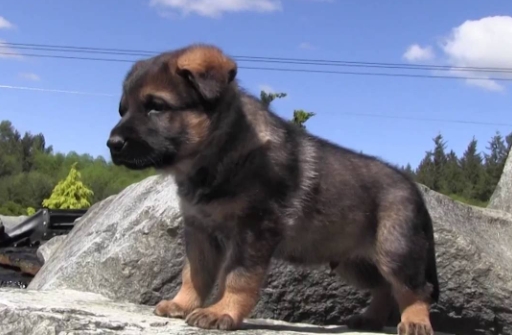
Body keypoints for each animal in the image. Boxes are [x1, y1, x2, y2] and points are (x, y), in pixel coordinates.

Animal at [106, 43, 438, 335]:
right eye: (123, 110)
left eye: (156, 107)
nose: (112, 144)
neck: (220, 153)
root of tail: (415, 189)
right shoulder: (200, 231)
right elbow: (195, 273)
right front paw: (183, 303)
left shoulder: (254, 230)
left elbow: (237, 276)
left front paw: (221, 311)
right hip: (354, 261)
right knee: (384, 287)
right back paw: (371, 319)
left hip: (394, 251)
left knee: (414, 288)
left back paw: (415, 321)